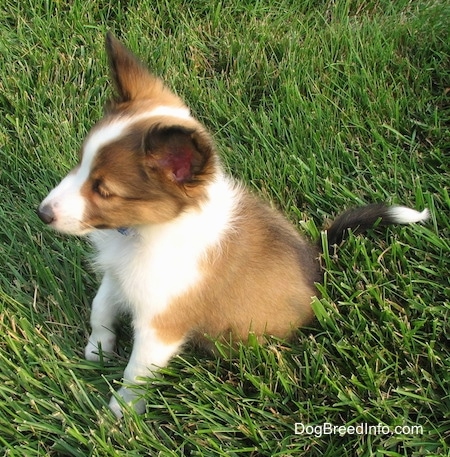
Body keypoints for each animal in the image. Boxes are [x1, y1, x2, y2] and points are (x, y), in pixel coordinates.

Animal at [37, 33, 428, 416]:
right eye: (80, 162)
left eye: (104, 190)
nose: (43, 213)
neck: (146, 232)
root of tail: (320, 258)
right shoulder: (119, 277)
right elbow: (100, 307)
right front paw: (98, 348)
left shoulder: (161, 323)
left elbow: (137, 371)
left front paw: (123, 411)